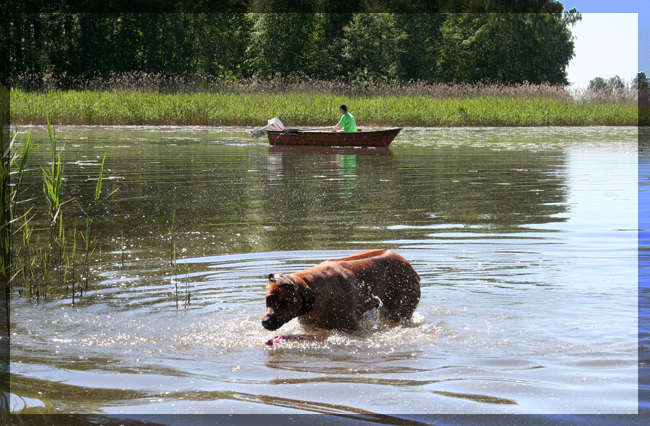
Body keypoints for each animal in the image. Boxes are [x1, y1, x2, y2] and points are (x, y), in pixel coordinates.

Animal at [262, 250, 420, 332]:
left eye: (287, 303)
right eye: (268, 300)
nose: (266, 322)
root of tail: (410, 266)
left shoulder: (352, 328)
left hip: (401, 307)